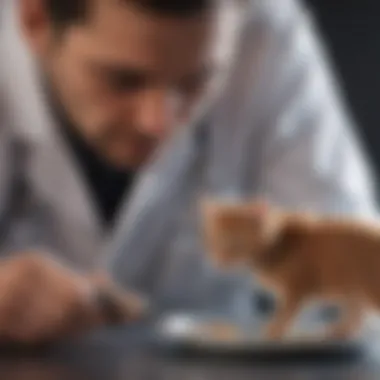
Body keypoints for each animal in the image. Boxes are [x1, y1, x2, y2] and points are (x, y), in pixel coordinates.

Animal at [200, 200, 380, 340]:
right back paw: (339, 331)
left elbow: (284, 315)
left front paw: (272, 333)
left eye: (235, 241)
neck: (278, 243)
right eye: (214, 240)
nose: (219, 259)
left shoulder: (296, 290)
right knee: (356, 312)